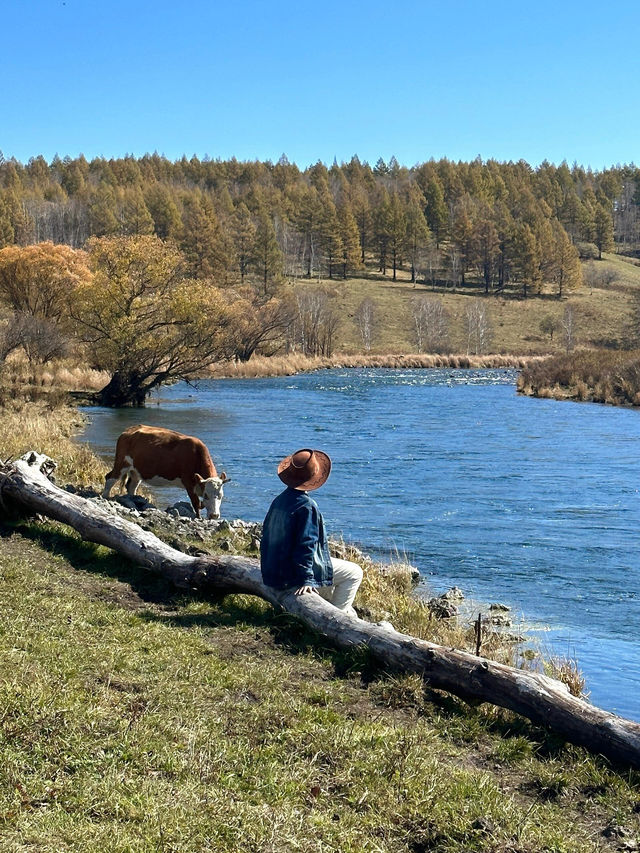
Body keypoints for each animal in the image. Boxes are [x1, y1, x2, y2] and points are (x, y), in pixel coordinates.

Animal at [101, 426, 229, 520]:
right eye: (206, 495)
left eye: (221, 496)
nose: (214, 515)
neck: (196, 455)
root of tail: (129, 430)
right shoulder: (188, 482)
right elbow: (196, 503)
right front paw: (198, 518)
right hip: (122, 463)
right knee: (110, 478)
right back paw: (105, 497)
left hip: (136, 471)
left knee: (131, 486)